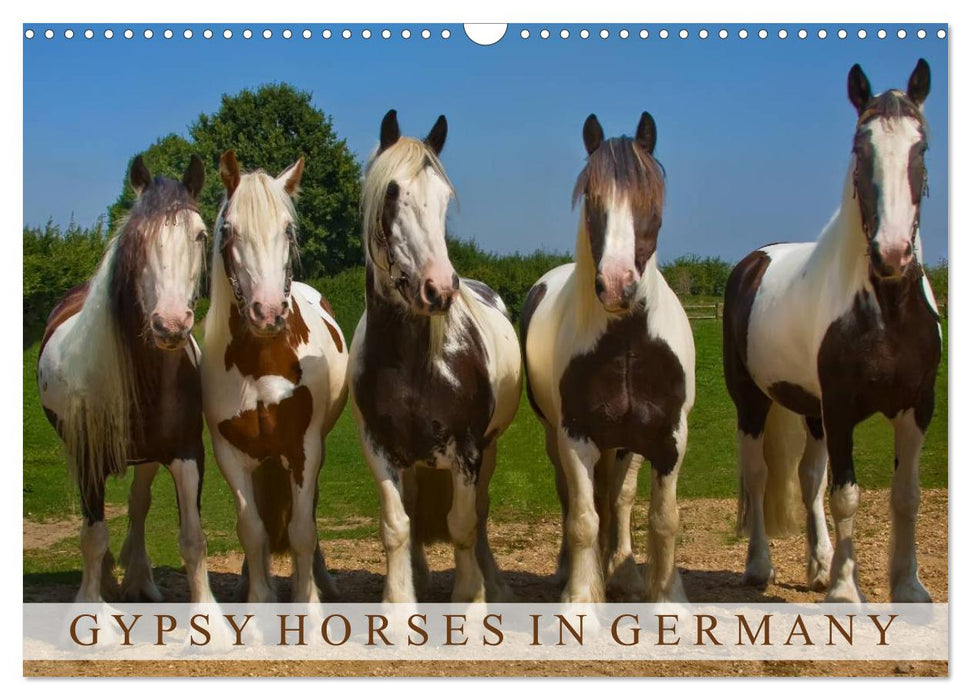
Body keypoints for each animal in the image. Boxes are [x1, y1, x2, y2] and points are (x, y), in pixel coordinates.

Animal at [37, 155, 214, 603]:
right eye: (138, 239)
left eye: (201, 235)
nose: (171, 324)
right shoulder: (88, 457)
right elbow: (93, 535)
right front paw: (91, 604)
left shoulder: (187, 452)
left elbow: (193, 538)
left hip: (148, 458)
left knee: (138, 504)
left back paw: (140, 580)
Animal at [201, 150, 348, 603]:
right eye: (229, 229)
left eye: (288, 229)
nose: (267, 313)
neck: (262, 363)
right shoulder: (230, 454)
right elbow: (252, 530)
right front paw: (259, 599)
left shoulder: (305, 448)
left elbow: (302, 530)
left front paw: (309, 602)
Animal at [348, 110, 522, 603]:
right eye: (392, 194)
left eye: (444, 197)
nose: (440, 288)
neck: (413, 364)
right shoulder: (378, 448)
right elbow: (395, 525)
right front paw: (399, 604)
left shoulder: (468, 449)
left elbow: (462, 524)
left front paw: (471, 599)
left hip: (490, 449)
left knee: (479, 513)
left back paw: (494, 583)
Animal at [521, 113, 695, 603]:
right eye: (593, 199)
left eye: (650, 199)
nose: (617, 285)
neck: (627, 346)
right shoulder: (576, 436)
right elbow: (583, 520)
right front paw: (580, 598)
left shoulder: (669, 439)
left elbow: (663, 520)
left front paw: (668, 599)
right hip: (558, 438)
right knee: (575, 499)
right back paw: (572, 571)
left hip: (627, 446)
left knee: (620, 499)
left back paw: (625, 572)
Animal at [723, 59, 940, 603]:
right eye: (860, 149)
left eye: (921, 147)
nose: (891, 254)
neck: (884, 312)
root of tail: (755, 261)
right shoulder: (841, 410)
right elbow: (847, 496)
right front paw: (845, 590)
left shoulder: (917, 407)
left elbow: (906, 496)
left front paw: (908, 586)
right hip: (752, 403)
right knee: (759, 477)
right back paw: (760, 566)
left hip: (810, 410)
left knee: (808, 478)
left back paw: (818, 565)